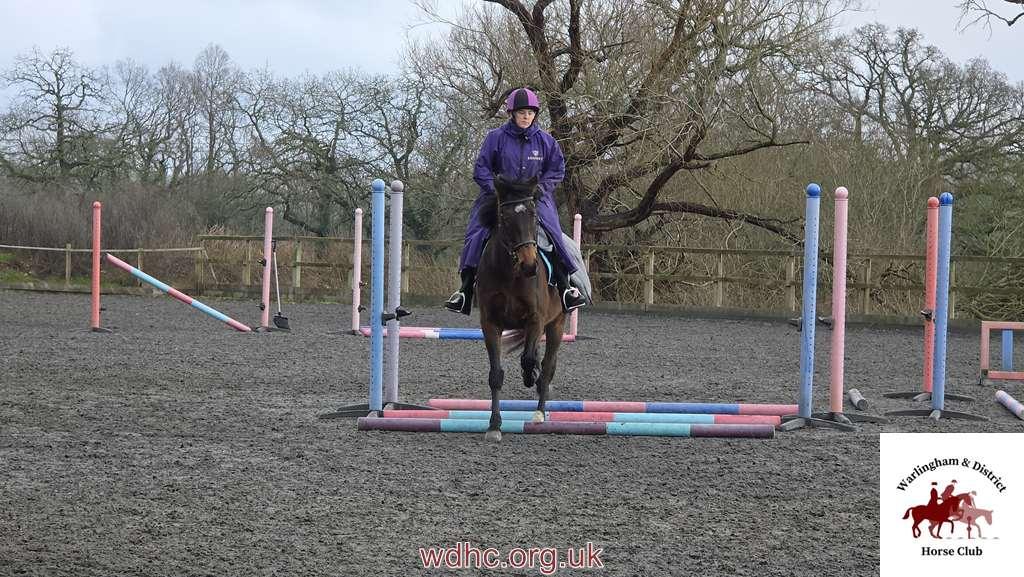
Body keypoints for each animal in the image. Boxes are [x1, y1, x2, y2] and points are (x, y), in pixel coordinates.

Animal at [475, 175, 567, 442]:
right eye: (505, 218)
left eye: (535, 216)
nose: (530, 265)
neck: (510, 272)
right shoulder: (490, 323)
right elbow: (496, 374)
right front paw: (494, 425)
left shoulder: (536, 319)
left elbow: (528, 360)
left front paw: (530, 376)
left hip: (556, 325)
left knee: (547, 366)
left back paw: (539, 411)